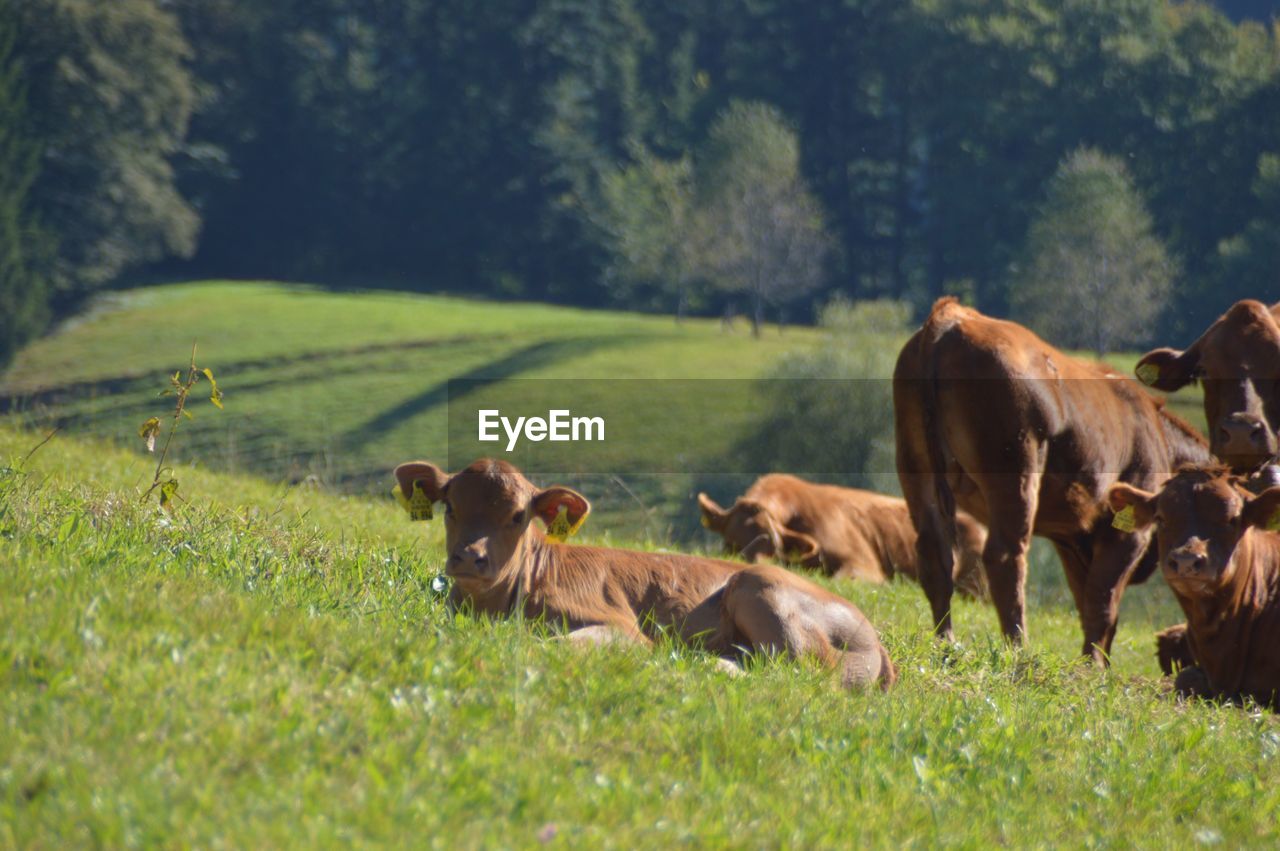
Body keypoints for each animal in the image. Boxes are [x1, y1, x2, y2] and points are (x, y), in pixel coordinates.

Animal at [394, 458, 896, 691]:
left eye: (518, 516)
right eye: (450, 506)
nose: (469, 557)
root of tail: (875, 634)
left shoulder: (623, 629)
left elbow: (558, 646)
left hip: (763, 588)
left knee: (800, 674)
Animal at [890, 298, 1208, 665]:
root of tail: (953, 316)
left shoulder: (1071, 538)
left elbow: (1088, 601)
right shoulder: (1129, 532)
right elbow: (1104, 600)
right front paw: (1092, 666)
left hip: (916, 466)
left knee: (935, 556)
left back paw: (945, 642)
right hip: (1016, 471)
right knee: (1005, 557)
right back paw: (1018, 648)